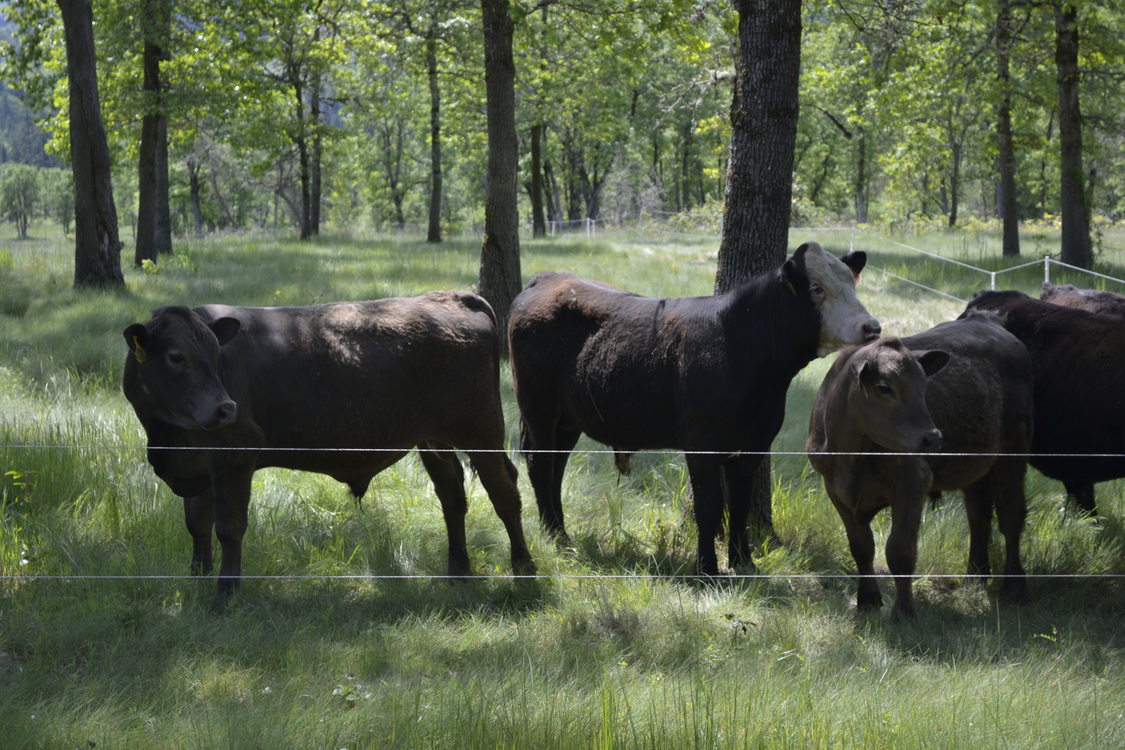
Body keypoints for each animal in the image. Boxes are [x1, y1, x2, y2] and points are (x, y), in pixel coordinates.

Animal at [120, 292, 533, 598]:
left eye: (216, 354)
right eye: (176, 357)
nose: (225, 409)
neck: (166, 434)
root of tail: (452, 296)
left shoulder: (234, 456)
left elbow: (229, 526)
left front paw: (226, 593)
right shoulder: (199, 462)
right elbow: (197, 524)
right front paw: (199, 579)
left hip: (481, 433)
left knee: (504, 493)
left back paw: (524, 571)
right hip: (434, 440)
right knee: (452, 497)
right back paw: (458, 573)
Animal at [506, 240, 882, 575]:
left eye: (852, 283)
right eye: (817, 289)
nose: (873, 327)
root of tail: (546, 278)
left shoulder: (754, 443)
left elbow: (739, 503)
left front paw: (743, 562)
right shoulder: (702, 442)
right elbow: (709, 505)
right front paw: (707, 568)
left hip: (569, 419)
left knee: (557, 467)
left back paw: (560, 531)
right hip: (539, 406)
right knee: (540, 463)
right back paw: (554, 535)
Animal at [805, 314, 1030, 620]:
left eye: (924, 386)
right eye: (884, 387)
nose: (932, 437)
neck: (851, 454)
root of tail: (987, 320)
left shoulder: (913, 480)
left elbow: (900, 550)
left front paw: (903, 612)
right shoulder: (834, 487)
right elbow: (861, 546)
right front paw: (868, 599)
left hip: (1014, 451)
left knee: (1010, 516)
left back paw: (1015, 587)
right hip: (976, 464)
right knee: (978, 515)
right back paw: (975, 577)